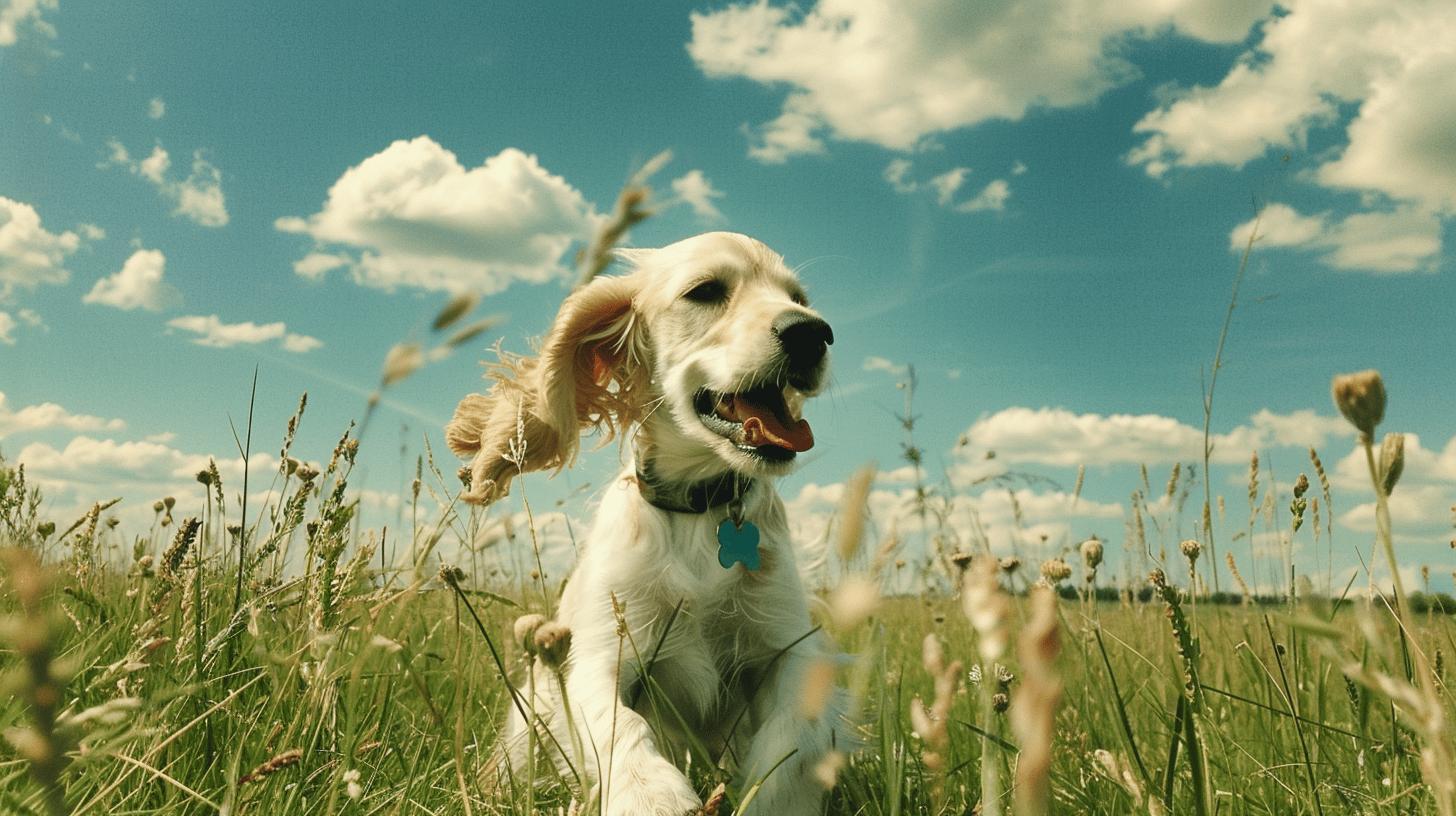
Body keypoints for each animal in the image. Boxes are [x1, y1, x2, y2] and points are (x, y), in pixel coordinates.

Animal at [448, 231, 850, 816]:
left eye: (798, 297)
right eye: (705, 291)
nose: (813, 333)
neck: (702, 510)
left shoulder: (789, 647)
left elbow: (793, 741)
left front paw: (772, 798)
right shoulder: (601, 652)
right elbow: (620, 725)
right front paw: (651, 794)